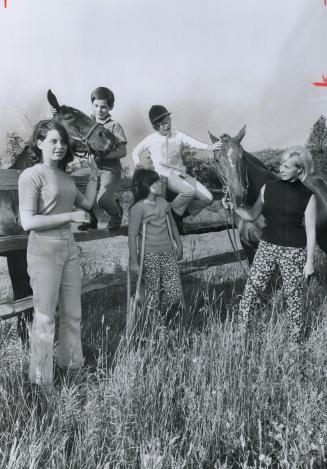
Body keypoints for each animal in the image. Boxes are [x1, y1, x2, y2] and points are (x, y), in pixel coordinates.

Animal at [0, 89, 116, 342]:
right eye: (70, 116)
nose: (109, 138)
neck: (13, 196)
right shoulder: (15, 255)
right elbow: (22, 299)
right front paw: (26, 341)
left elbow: (30, 299)